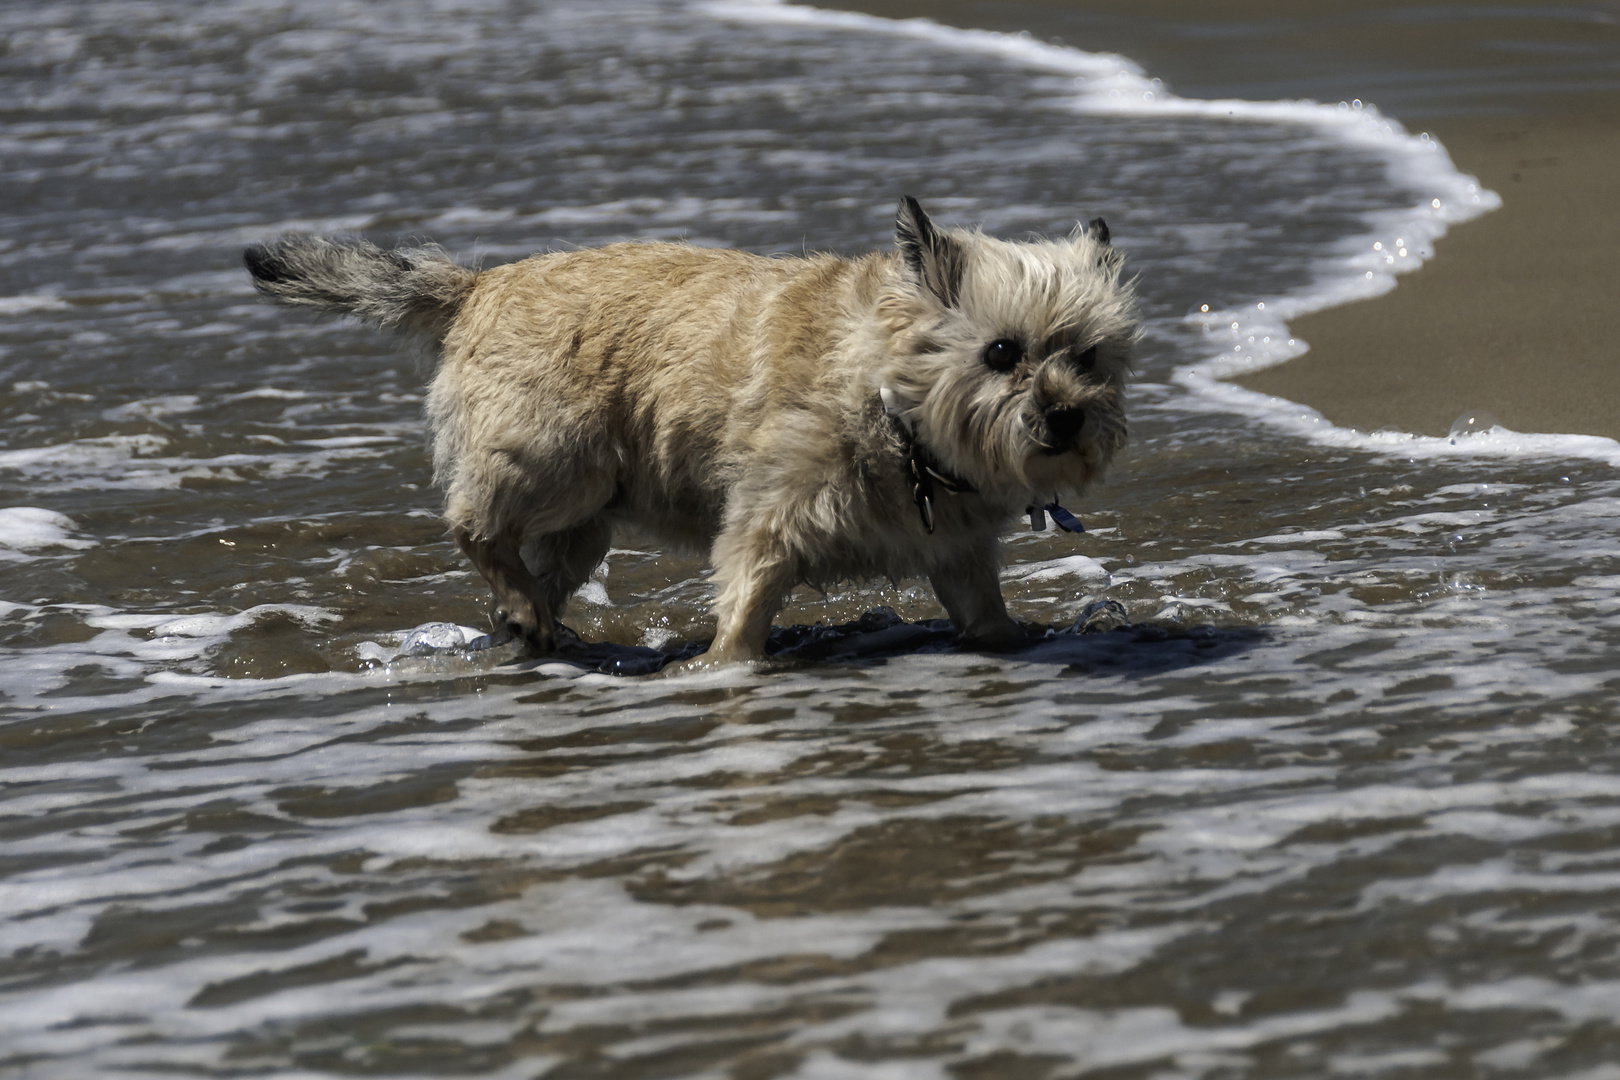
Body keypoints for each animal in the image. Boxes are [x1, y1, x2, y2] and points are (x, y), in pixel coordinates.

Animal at [243, 197, 1140, 663]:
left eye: (1089, 355)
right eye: (1003, 352)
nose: (1067, 415)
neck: (891, 402)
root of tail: (478, 284)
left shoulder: (956, 551)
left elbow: (983, 612)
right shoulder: (768, 524)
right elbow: (744, 606)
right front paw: (720, 669)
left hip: (585, 516)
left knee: (539, 567)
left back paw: (529, 622)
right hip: (555, 461)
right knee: (474, 525)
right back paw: (521, 606)